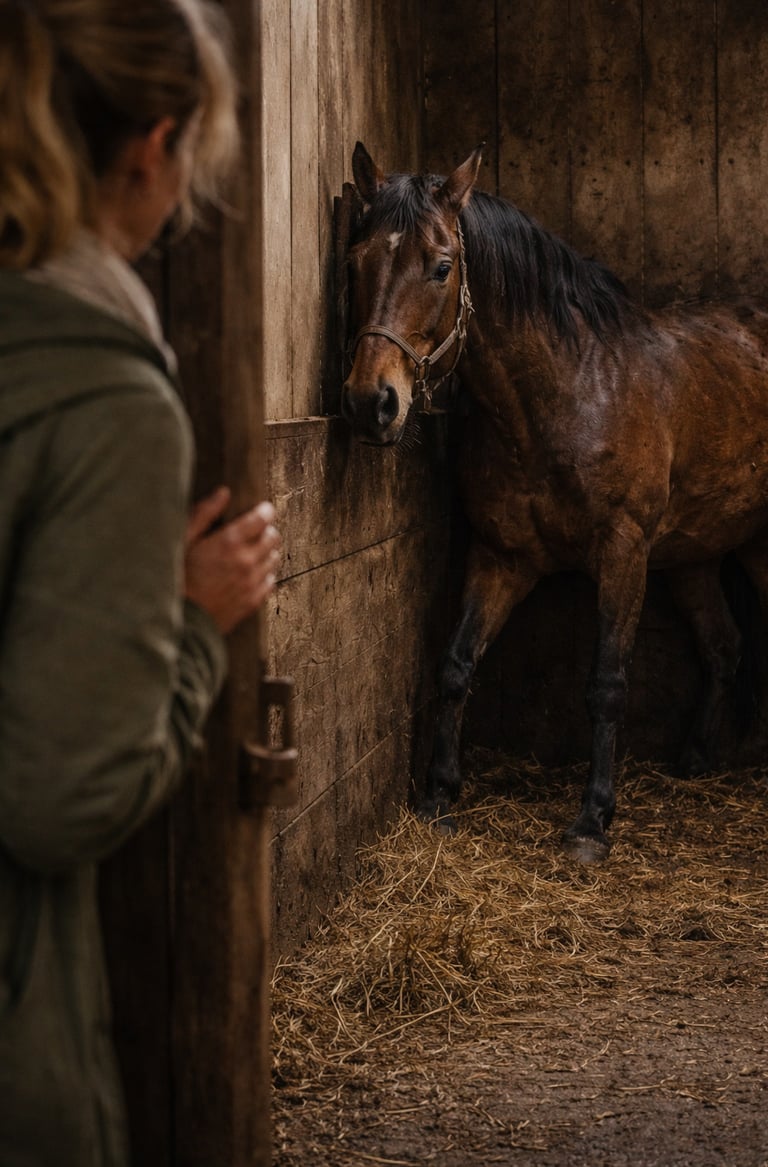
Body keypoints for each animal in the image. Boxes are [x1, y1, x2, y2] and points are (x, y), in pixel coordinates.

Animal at [340, 140, 768, 863]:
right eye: (356, 259)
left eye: (442, 267)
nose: (374, 402)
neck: (568, 392)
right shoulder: (502, 556)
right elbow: (456, 664)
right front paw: (439, 795)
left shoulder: (624, 554)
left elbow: (607, 684)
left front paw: (593, 819)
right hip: (698, 555)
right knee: (724, 647)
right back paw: (696, 759)